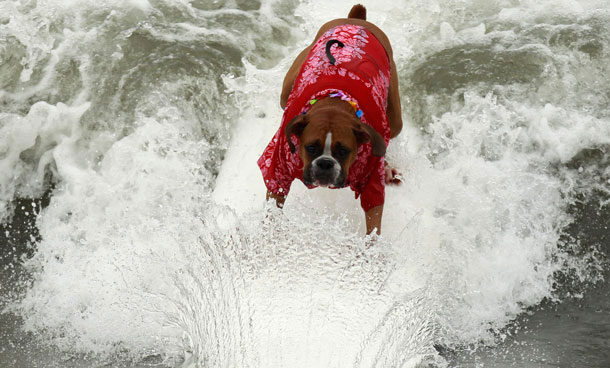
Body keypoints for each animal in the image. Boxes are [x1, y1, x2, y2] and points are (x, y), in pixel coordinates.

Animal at [255, 4, 402, 234]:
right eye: (310, 147)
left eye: (343, 151)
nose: (325, 163)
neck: (335, 102)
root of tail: (356, 20)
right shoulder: (278, 167)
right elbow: (274, 200)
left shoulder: (371, 181)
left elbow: (374, 221)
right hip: (285, 91)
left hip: (395, 119)